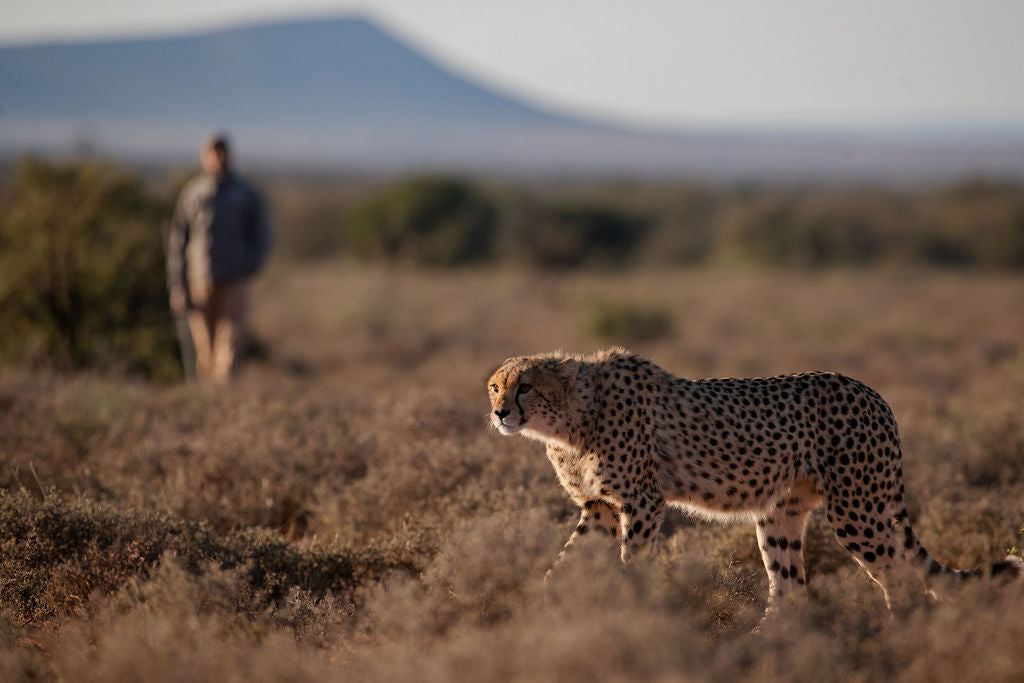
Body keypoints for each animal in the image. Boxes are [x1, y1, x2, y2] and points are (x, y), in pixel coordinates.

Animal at [487, 348, 1024, 610]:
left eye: (525, 387)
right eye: (495, 385)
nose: (499, 413)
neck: (573, 417)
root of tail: (873, 393)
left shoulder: (642, 503)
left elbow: (631, 562)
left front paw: (627, 607)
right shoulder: (598, 507)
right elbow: (562, 565)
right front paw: (542, 609)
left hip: (857, 510)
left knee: (900, 578)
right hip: (780, 515)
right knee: (790, 590)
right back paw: (763, 649)